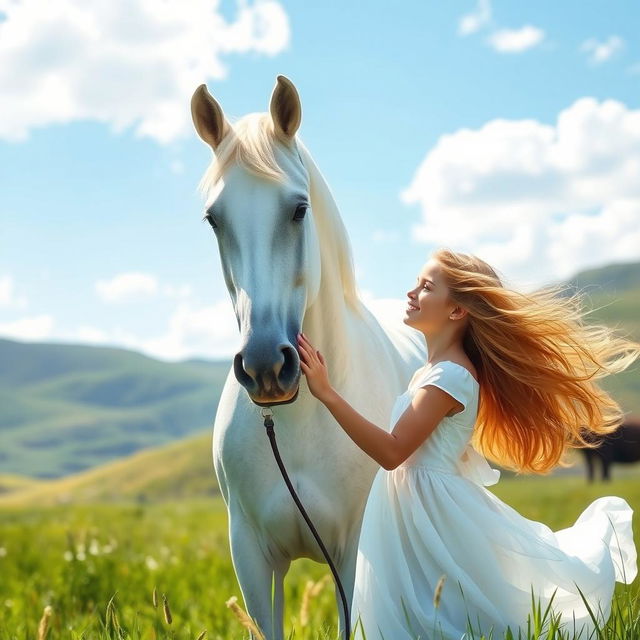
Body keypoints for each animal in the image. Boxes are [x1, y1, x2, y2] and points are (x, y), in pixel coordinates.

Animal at [191, 76, 424, 640]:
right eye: (213, 219)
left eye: (298, 209)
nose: (265, 368)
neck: (298, 425)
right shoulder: (253, 560)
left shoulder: (351, 553)